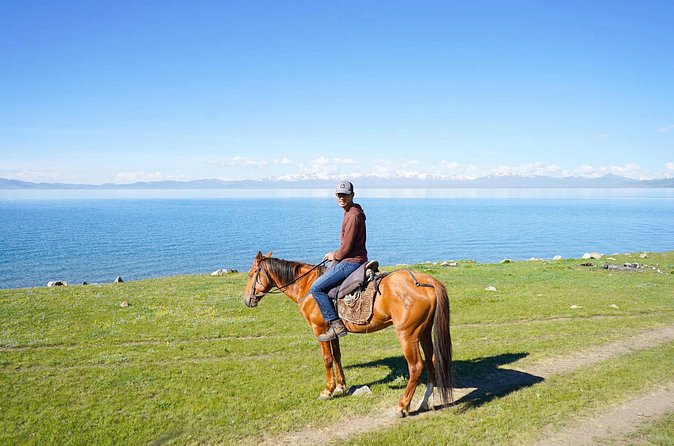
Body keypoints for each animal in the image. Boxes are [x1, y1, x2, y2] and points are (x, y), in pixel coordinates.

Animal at [243, 251, 454, 417]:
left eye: (252, 273)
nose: (247, 300)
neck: (307, 287)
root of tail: (426, 281)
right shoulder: (332, 331)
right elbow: (337, 355)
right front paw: (341, 386)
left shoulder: (319, 329)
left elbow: (327, 358)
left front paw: (328, 390)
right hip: (424, 332)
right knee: (432, 361)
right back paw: (425, 401)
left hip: (407, 334)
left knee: (416, 367)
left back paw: (402, 406)